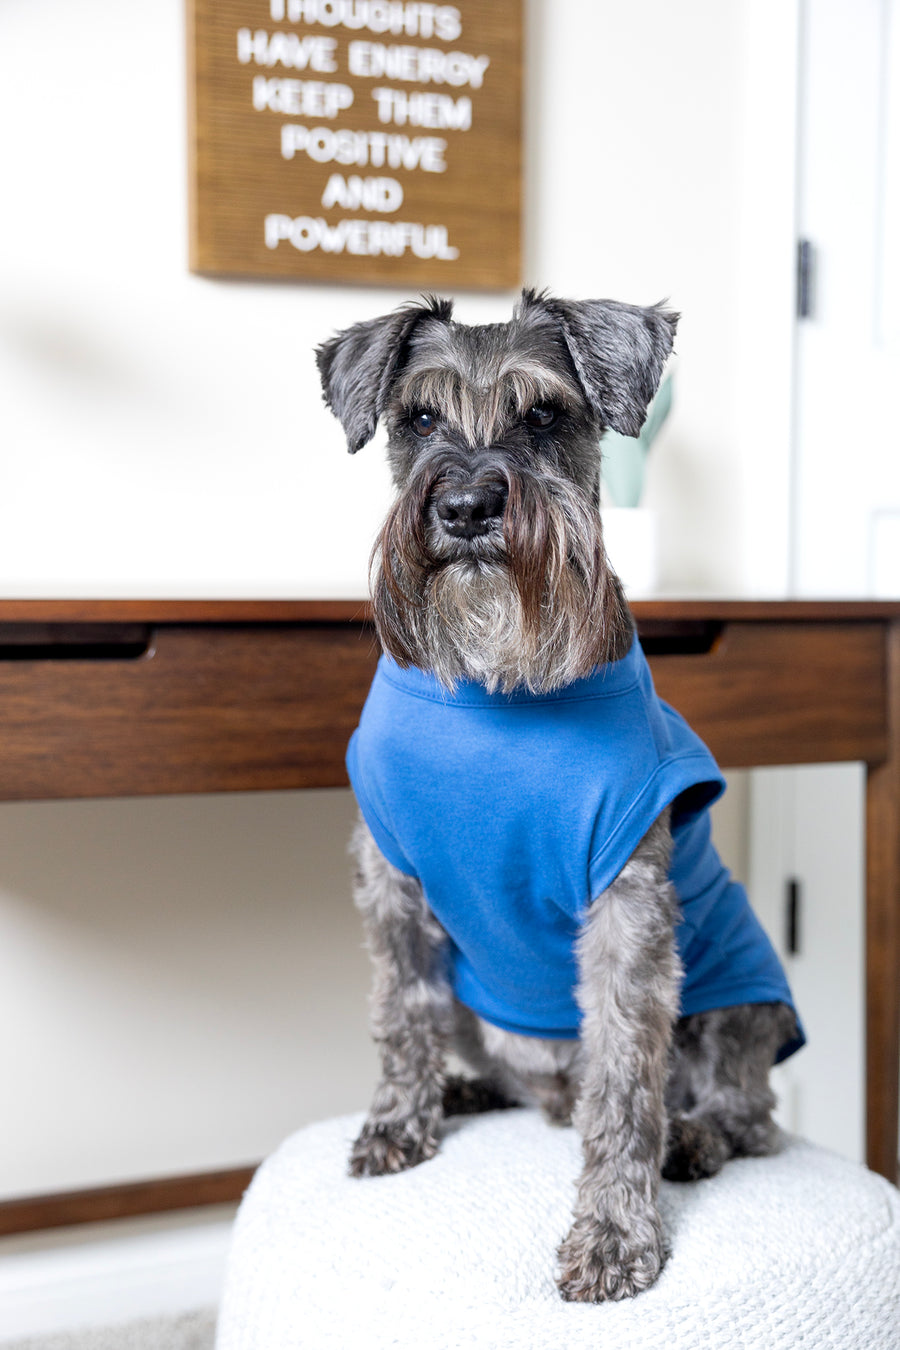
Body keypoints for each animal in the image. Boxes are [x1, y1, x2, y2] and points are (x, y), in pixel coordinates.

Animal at [315, 290, 804, 1301]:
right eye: (418, 420)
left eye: (543, 416)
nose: (466, 507)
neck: (495, 685)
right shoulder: (391, 883)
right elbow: (402, 1014)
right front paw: (399, 1122)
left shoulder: (628, 908)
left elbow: (623, 1081)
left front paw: (615, 1236)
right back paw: (472, 1091)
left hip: (742, 1000)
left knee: (747, 1115)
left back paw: (691, 1142)